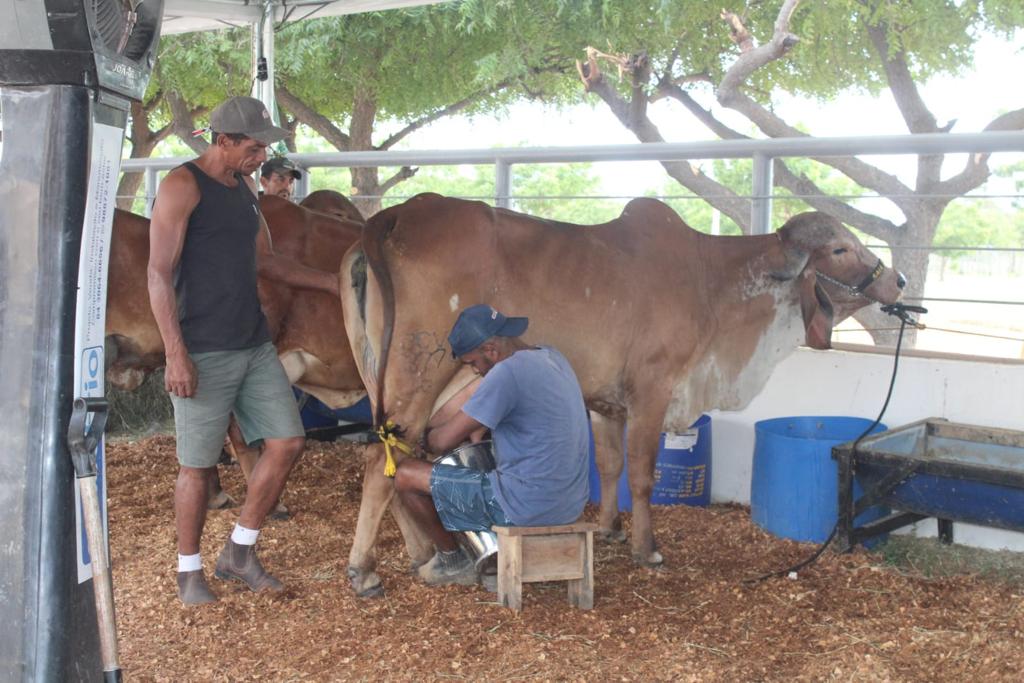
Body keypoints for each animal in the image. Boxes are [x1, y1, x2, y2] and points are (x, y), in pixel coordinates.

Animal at [339, 192, 901, 598]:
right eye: (840, 249)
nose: (896, 280)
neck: (713, 283)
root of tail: (396, 215)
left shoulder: (605, 401)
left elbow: (609, 465)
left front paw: (609, 526)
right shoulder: (653, 388)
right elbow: (642, 474)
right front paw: (646, 547)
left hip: (378, 378)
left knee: (392, 460)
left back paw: (427, 556)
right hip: (418, 372)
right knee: (381, 461)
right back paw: (365, 570)